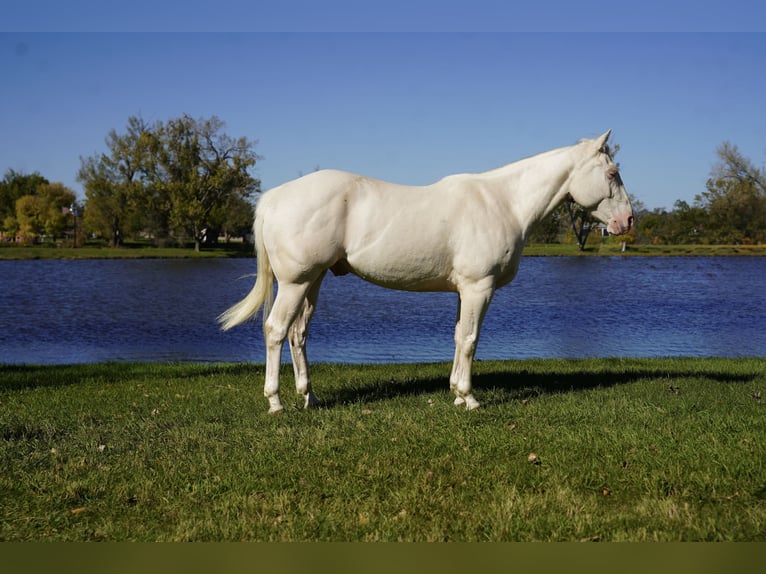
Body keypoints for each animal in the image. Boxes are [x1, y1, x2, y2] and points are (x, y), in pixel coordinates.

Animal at [219, 130, 633, 413]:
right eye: (612, 173)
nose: (628, 221)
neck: (503, 203)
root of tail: (274, 198)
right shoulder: (479, 288)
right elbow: (471, 340)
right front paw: (469, 398)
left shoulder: (463, 291)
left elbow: (458, 337)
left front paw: (456, 393)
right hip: (296, 281)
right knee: (276, 330)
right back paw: (275, 402)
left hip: (313, 280)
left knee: (298, 333)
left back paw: (309, 397)